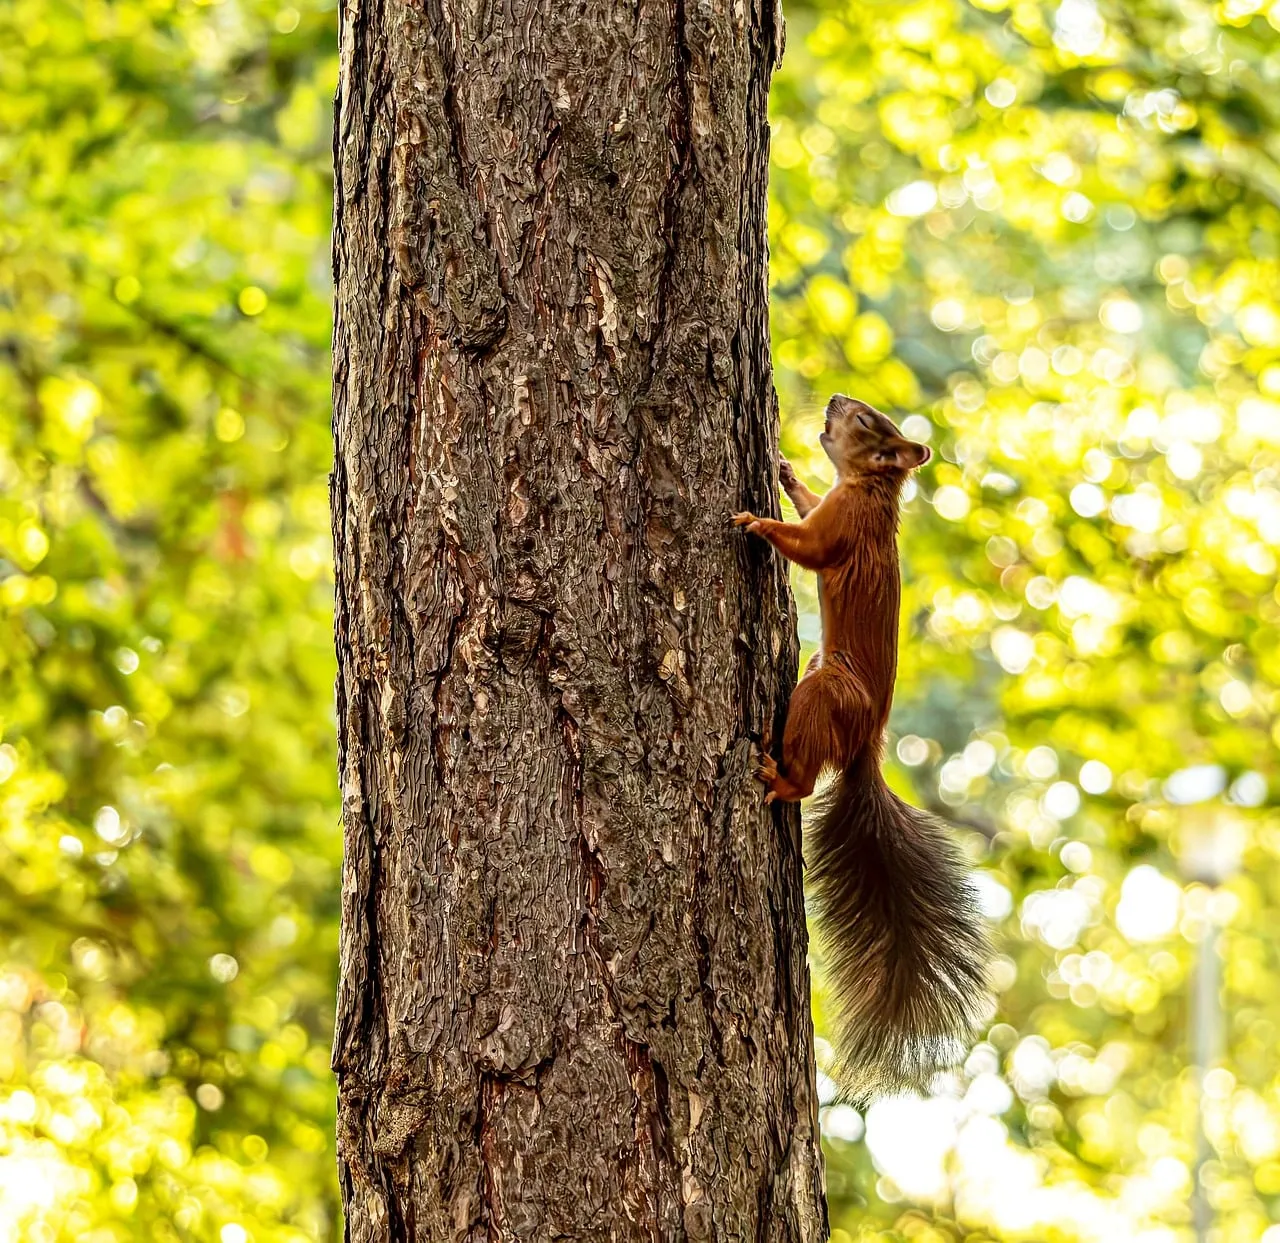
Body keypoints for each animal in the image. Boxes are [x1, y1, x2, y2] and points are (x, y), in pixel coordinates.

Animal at [732, 394, 990, 1098]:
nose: (834, 402)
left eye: (871, 423)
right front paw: (786, 474)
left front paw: (755, 520)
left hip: (825, 692)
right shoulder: (833, 502)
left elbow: (810, 547)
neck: (868, 489)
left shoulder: (841, 528)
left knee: (805, 773)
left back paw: (780, 779)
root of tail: (866, 745)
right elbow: (808, 503)